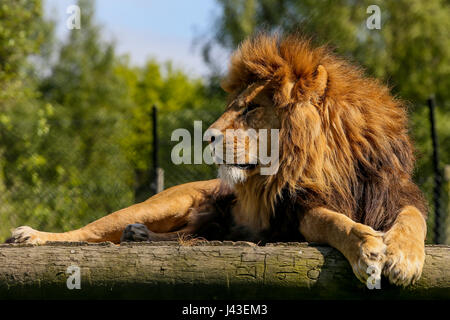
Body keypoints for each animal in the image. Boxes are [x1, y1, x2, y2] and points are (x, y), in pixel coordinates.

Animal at [7, 33, 428, 288]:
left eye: (253, 108)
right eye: (235, 106)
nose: (207, 136)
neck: (331, 163)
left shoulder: (396, 194)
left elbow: (413, 219)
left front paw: (403, 258)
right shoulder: (296, 212)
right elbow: (335, 221)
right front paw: (368, 247)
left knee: (184, 237)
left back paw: (138, 236)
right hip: (164, 202)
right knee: (92, 231)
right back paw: (33, 236)